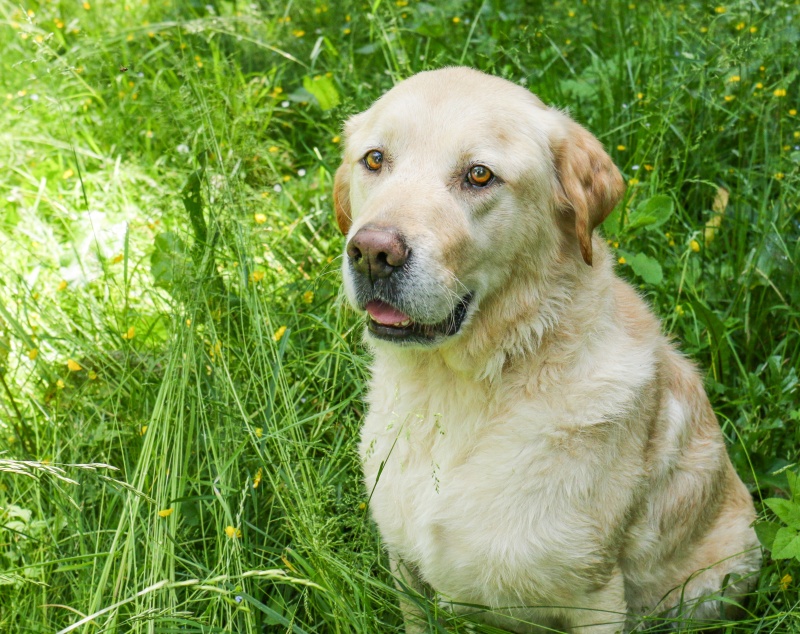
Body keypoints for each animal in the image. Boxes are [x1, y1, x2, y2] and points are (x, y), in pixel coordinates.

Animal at [332, 66, 764, 628]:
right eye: (375, 159)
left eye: (479, 175)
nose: (372, 252)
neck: (460, 389)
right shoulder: (406, 569)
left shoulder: (594, 596)